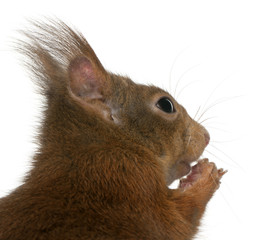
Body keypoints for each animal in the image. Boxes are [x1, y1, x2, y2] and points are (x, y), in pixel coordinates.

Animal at [0, 20, 227, 240]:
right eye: (166, 105)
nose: (207, 136)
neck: (102, 144)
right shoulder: (127, 178)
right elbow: (176, 222)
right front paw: (204, 176)